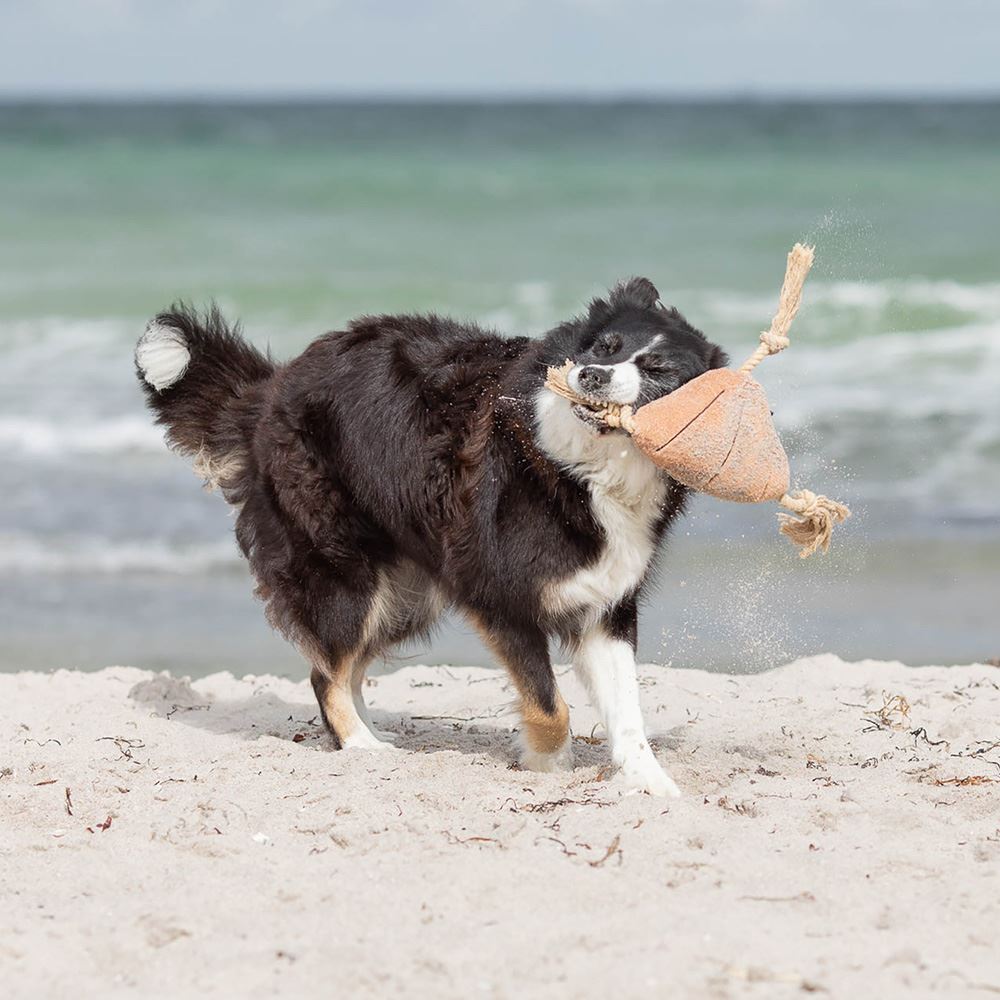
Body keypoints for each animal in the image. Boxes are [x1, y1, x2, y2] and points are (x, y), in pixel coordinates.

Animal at [135, 278, 728, 792]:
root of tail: (271, 387)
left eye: (658, 370)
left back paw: (373, 735)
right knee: (327, 672)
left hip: (406, 592)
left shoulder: (606, 603)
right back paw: (362, 747)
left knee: (345, 668)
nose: (591, 376)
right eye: (605, 346)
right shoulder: (497, 593)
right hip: (346, 571)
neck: (577, 468)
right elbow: (549, 705)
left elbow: (627, 709)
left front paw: (651, 783)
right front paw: (545, 763)